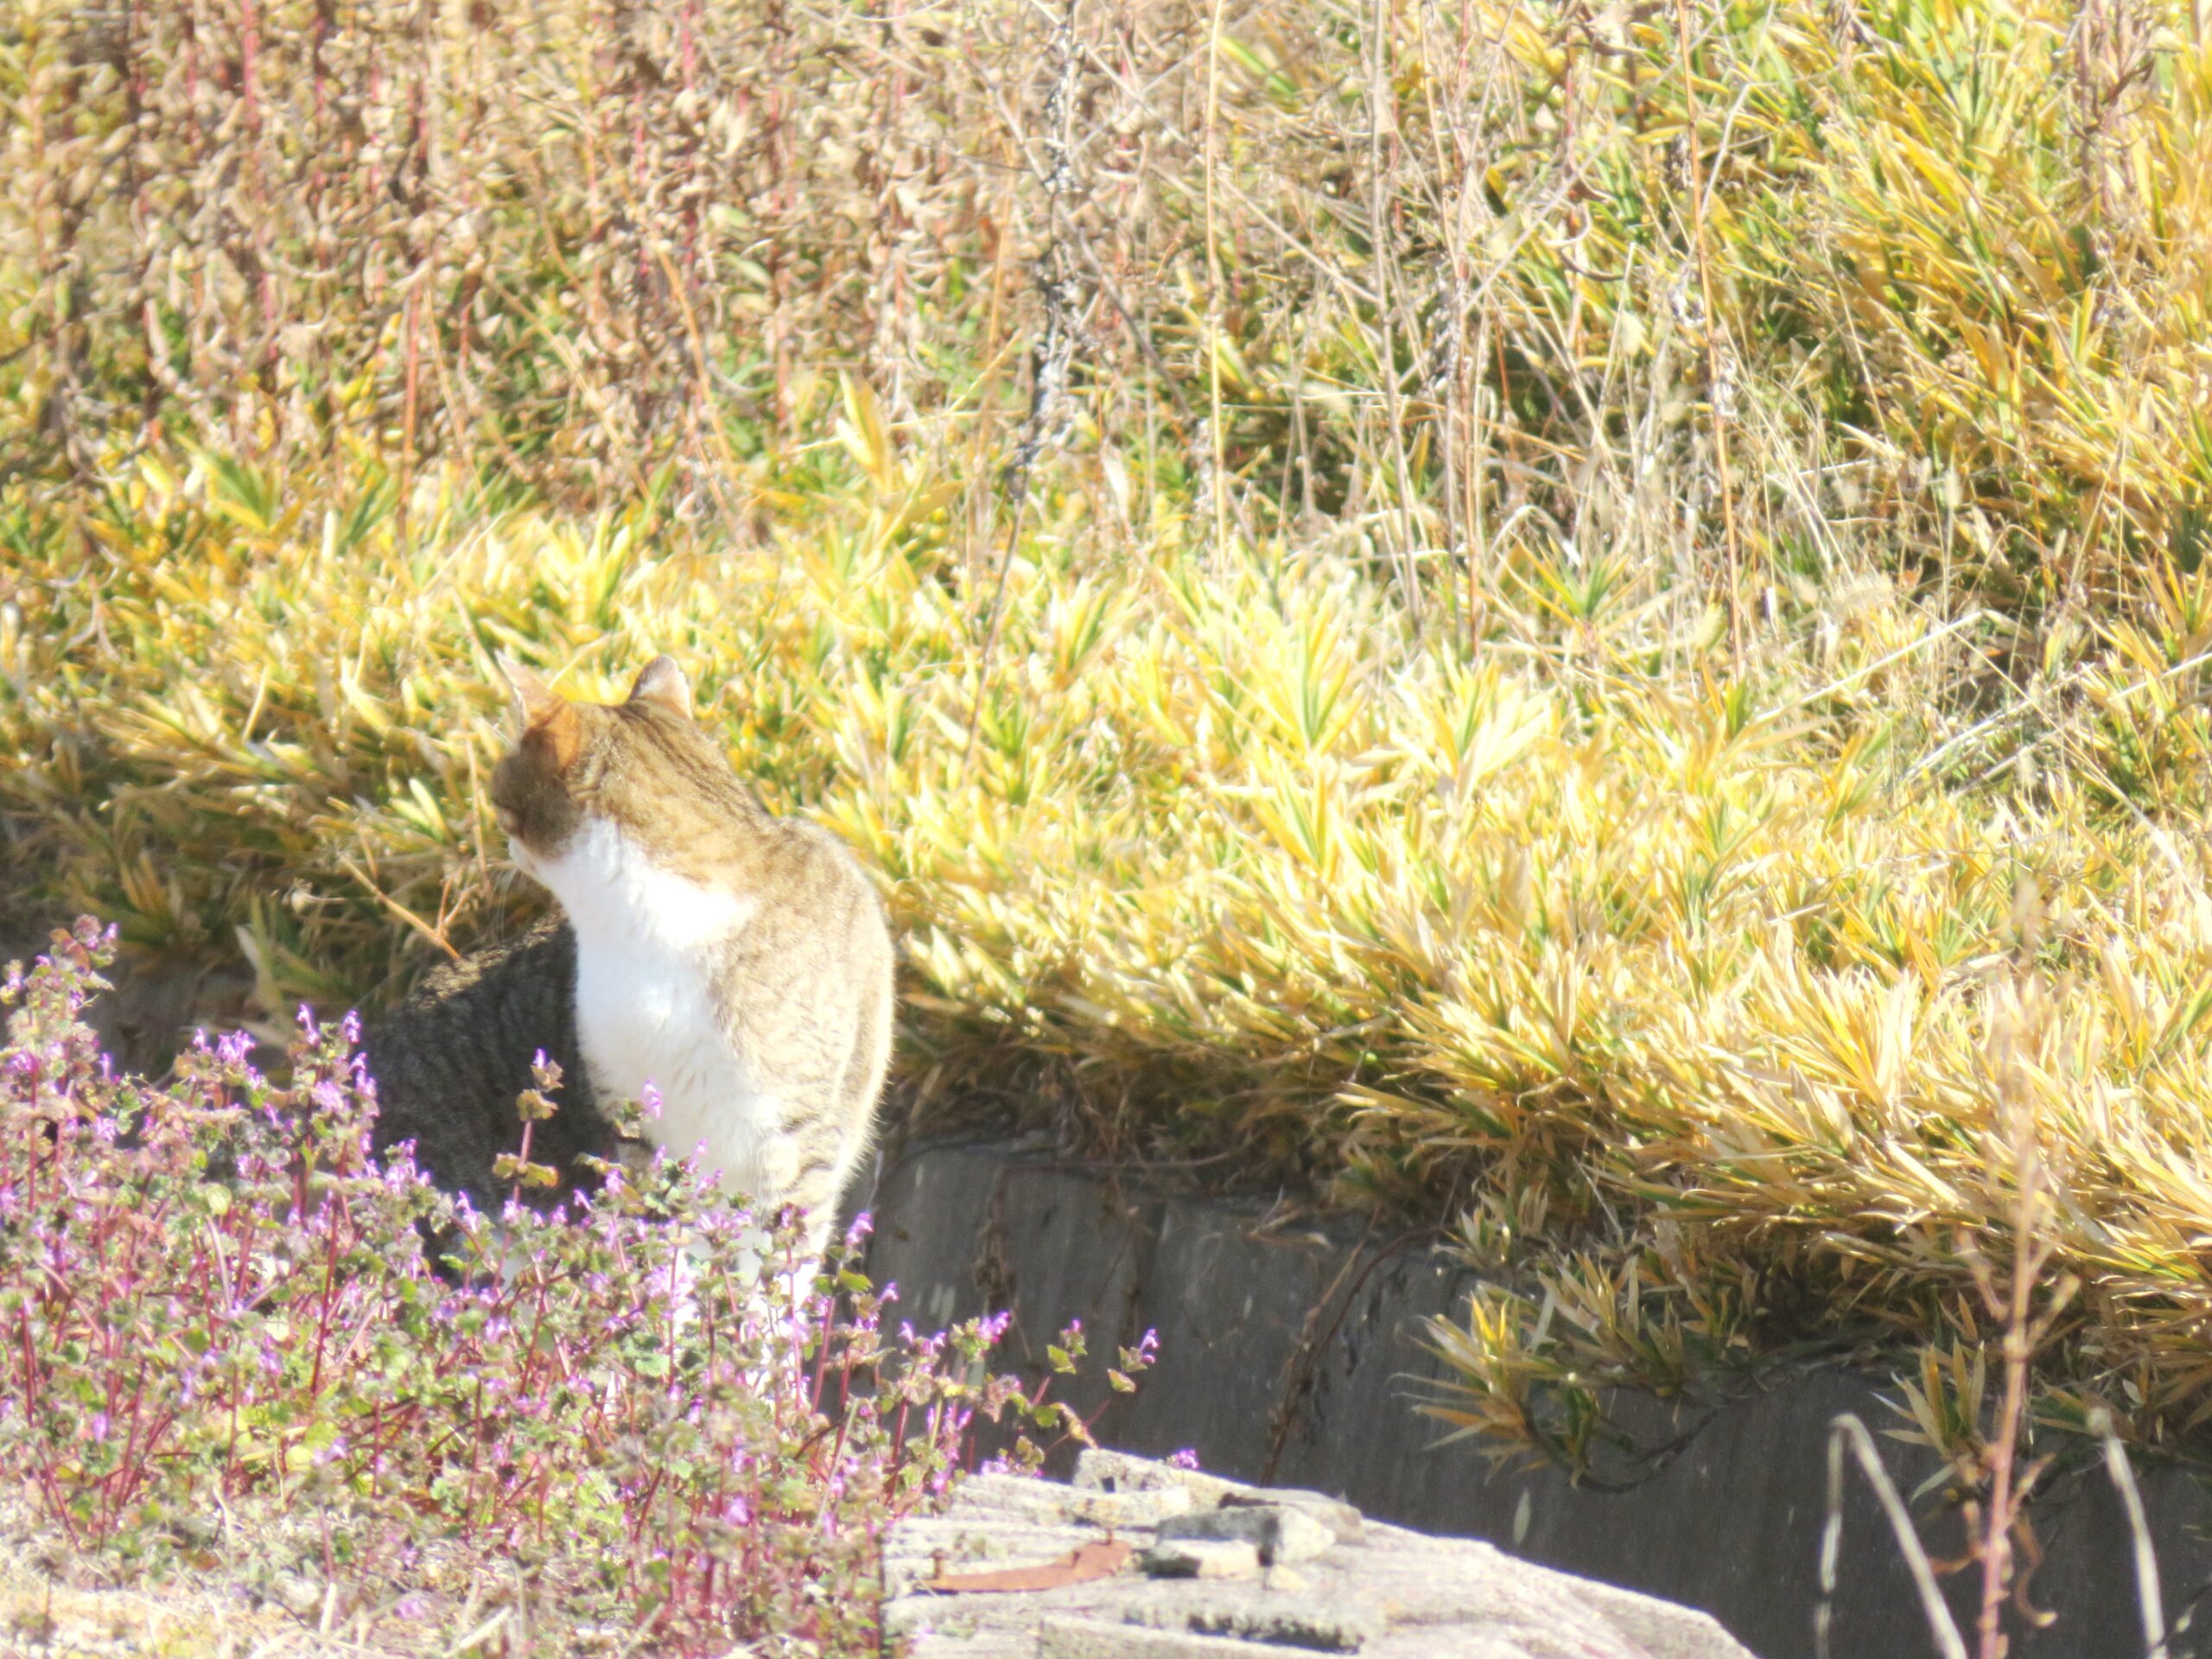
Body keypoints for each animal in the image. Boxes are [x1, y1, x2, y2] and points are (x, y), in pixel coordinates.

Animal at [358, 654, 893, 1256]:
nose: (507, 847)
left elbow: (780, 1258)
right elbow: (652, 1236)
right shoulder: (632, 1122)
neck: (658, 928)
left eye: (497, 800)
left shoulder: (799, 1138)